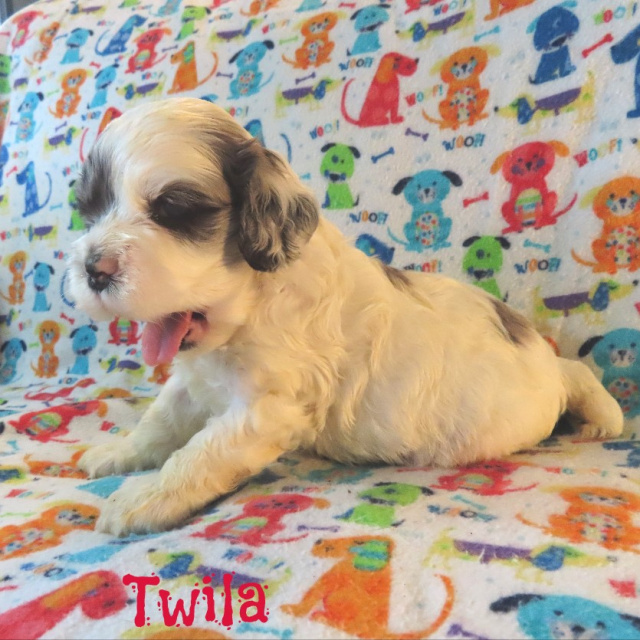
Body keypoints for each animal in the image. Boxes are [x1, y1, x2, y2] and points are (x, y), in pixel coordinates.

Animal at [69, 98, 623, 535]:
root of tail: (542, 361)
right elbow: (160, 421)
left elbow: (199, 454)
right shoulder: (193, 380)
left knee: (576, 369)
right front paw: (119, 454)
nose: (92, 269)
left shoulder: (271, 407)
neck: (249, 306)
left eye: (172, 209)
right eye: (89, 210)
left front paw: (142, 499)